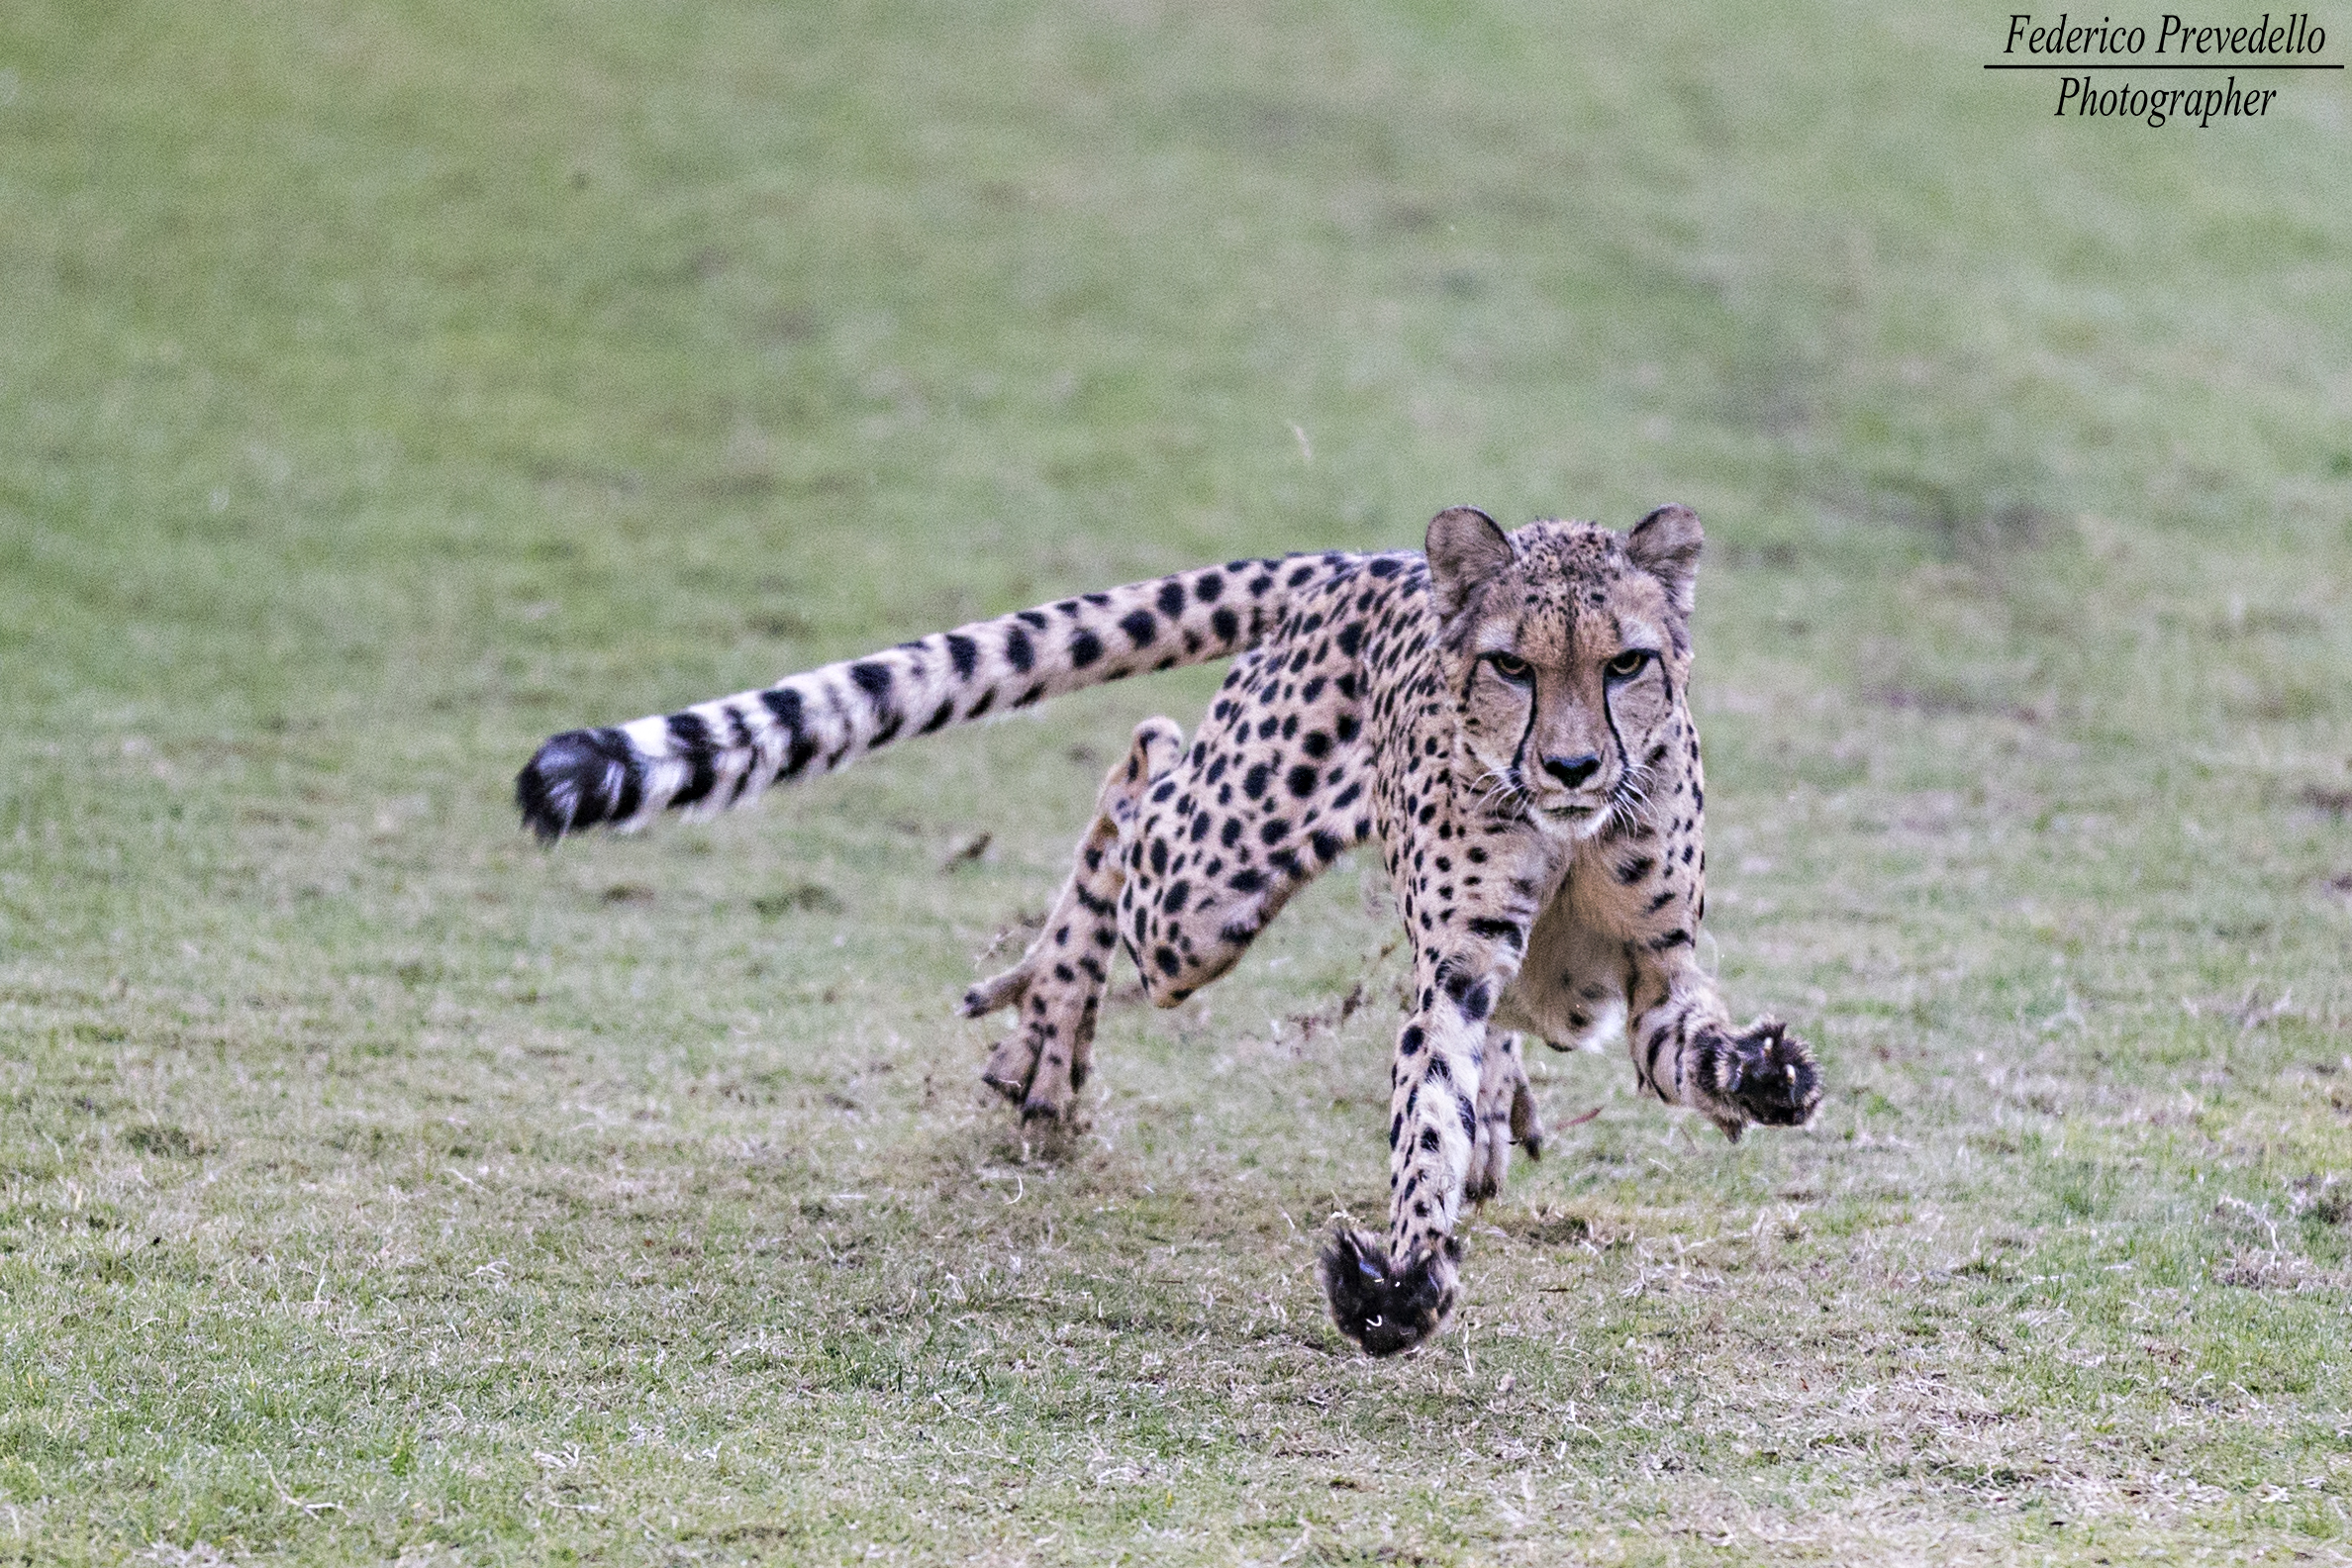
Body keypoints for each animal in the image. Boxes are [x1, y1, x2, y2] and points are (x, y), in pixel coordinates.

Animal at [515, 502, 1822, 1356]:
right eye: (1511, 665)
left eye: (1627, 663)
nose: (1571, 764)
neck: (1570, 829)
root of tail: (1371, 563)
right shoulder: (1452, 973)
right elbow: (1425, 1125)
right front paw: (1400, 1286)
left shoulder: (1649, 976)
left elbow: (1688, 1050)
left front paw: (1765, 1073)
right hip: (1210, 887)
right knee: (1138, 773)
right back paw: (1047, 1026)